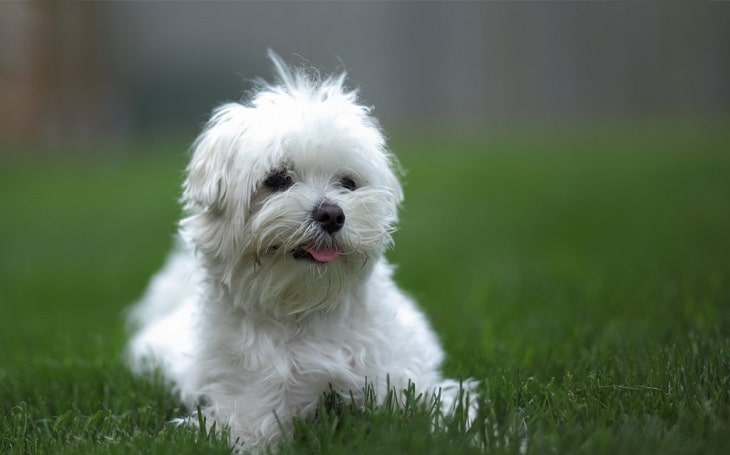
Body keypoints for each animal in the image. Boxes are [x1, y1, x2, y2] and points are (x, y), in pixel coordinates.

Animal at [126, 52, 472, 448]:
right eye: (277, 179)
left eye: (348, 183)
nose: (332, 214)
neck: (304, 310)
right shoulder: (250, 404)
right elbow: (243, 430)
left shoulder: (399, 380)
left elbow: (433, 409)